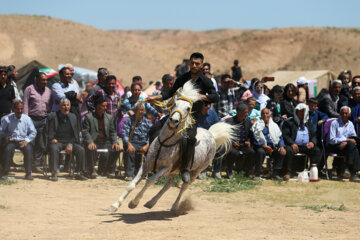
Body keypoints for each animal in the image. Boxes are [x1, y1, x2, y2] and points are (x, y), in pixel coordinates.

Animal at [107, 80, 236, 212]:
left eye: (188, 108)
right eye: (174, 104)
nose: (174, 120)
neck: (165, 143)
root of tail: (211, 135)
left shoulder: (165, 168)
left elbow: (149, 181)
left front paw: (134, 202)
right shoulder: (147, 164)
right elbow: (132, 184)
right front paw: (115, 205)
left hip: (195, 172)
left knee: (184, 186)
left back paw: (174, 206)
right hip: (175, 170)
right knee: (168, 184)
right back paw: (151, 202)